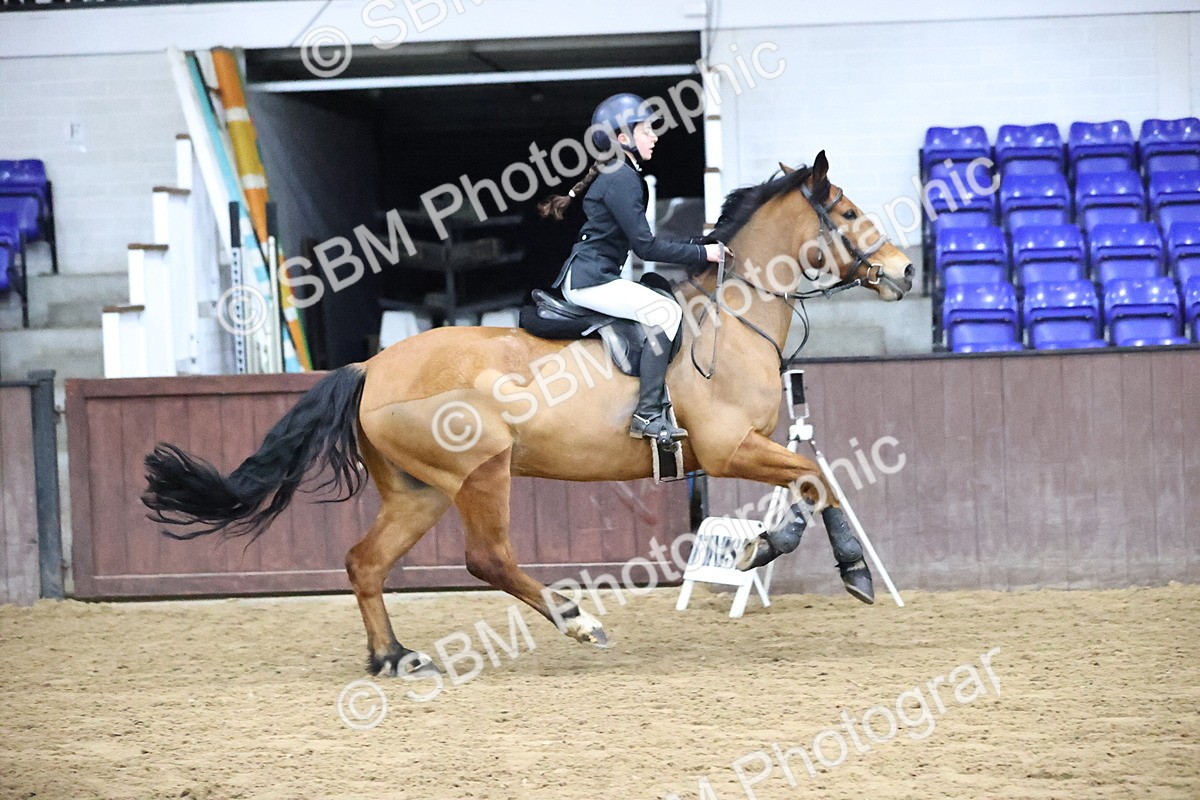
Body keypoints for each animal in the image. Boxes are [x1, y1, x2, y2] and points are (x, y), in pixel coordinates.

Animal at [142, 150, 914, 676]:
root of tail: (371, 369)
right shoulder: (729, 447)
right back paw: (575, 621)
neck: (736, 313)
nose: (905, 271)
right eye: (848, 214)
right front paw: (838, 568)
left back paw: (395, 656)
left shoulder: (747, 445)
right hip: (483, 470)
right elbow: (817, 479)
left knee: (365, 562)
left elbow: (808, 483)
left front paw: (787, 554)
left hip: (420, 491)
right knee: (485, 557)